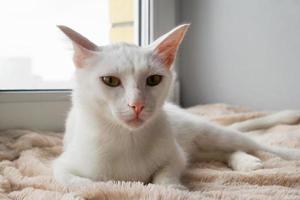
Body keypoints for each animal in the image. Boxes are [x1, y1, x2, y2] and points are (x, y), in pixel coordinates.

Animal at [53, 24, 300, 189]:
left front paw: (172, 188)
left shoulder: (175, 155)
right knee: (217, 152)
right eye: (110, 81)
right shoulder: (61, 166)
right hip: (199, 146)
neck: (128, 139)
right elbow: (82, 183)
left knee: (253, 144)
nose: (137, 105)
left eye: (153, 80)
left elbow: (166, 174)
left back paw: (264, 157)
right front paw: (97, 186)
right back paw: (245, 161)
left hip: (209, 134)